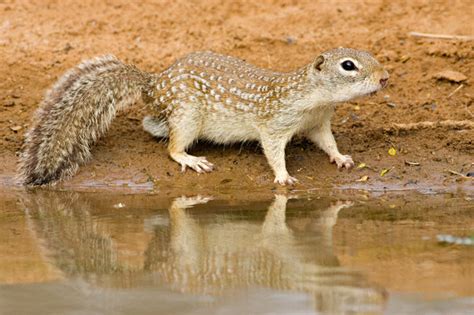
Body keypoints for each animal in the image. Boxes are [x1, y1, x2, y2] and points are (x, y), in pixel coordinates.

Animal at [18, 48, 388, 186]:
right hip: (187, 117)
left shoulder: (317, 122)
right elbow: (272, 150)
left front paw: (340, 157)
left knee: (153, 127)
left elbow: (327, 141)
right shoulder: (274, 124)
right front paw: (283, 176)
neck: (315, 99)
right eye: (349, 65)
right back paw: (190, 159)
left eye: (370, 54)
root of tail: (153, 84)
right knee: (171, 147)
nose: (385, 78)